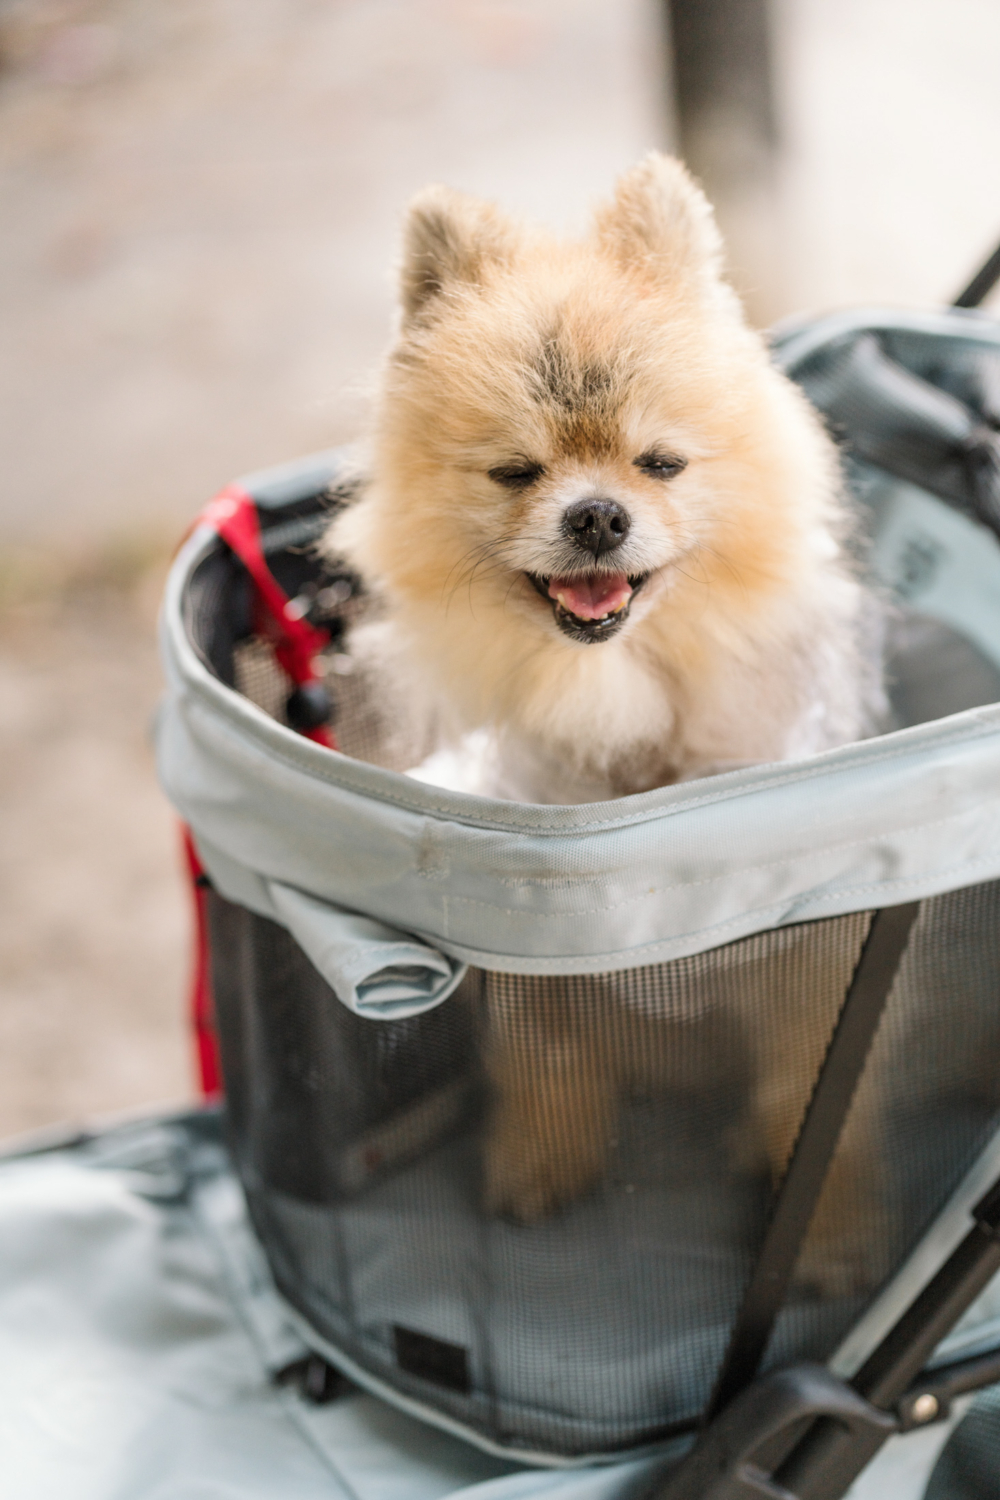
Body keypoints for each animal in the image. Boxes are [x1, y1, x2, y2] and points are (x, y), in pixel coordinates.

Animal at [326, 155, 881, 1290]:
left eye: (660, 464)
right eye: (515, 471)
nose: (594, 514)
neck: (618, 701)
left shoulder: (813, 953)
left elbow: (812, 1097)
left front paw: (826, 1231)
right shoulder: (525, 938)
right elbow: (545, 1050)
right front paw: (542, 1156)